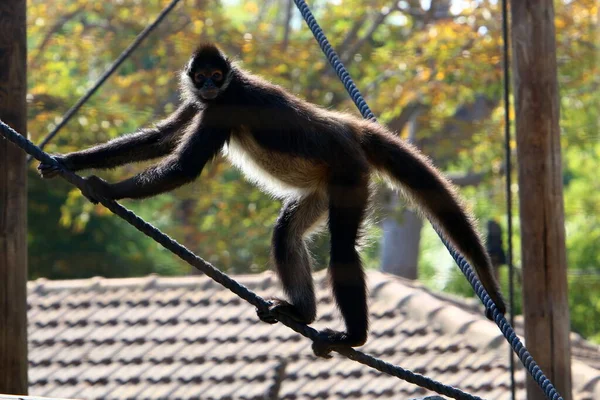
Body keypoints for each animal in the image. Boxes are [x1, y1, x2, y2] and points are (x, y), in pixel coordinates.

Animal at [38, 43, 506, 356]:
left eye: (217, 76)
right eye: (200, 77)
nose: (208, 86)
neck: (230, 88)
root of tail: (345, 127)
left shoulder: (224, 107)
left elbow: (183, 166)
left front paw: (105, 189)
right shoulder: (205, 104)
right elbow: (160, 139)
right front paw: (69, 161)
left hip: (348, 176)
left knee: (341, 248)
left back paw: (352, 336)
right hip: (323, 187)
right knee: (285, 232)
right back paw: (304, 315)